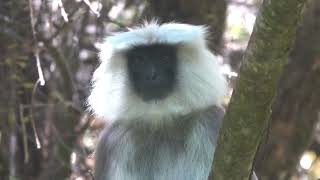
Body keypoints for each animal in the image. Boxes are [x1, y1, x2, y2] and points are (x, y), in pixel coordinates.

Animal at [87, 22, 248, 180]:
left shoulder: (211, 122)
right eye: (139, 60)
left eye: (164, 58)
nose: (151, 75)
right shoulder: (112, 142)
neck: (162, 122)